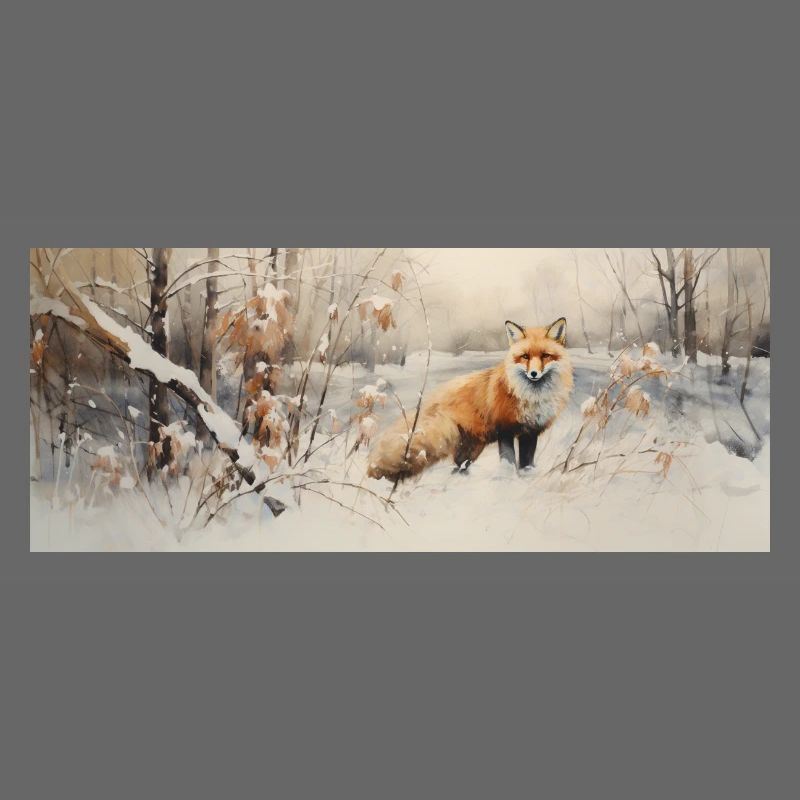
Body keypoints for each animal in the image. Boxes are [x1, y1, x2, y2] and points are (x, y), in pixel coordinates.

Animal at [367, 317, 573, 481]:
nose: (533, 374)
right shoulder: (505, 429)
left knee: (459, 466)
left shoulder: (530, 432)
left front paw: (526, 476)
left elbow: (527, 462)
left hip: (471, 448)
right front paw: (507, 479)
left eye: (546, 356)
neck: (532, 398)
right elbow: (508, 460)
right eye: (525, 356)